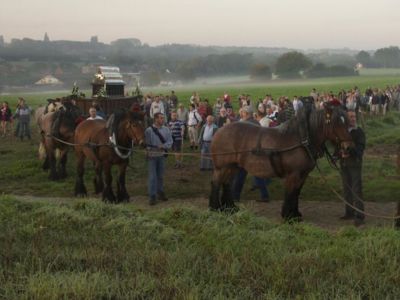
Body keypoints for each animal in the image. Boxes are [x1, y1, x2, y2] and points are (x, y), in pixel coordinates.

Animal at [209, 104, 354, 221]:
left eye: (346, 122)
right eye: (336, 123)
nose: (348, 147)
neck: (301, 139)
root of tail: (220, 130)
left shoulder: (303, 174)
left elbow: (296, 192)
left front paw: (295, 214)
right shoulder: (293, 174)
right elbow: (290, 192)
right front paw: (288, 216)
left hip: (232, 166)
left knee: (226, 183)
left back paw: (230, 208)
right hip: (222, 166)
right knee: (216, 182)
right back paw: (215, 207)